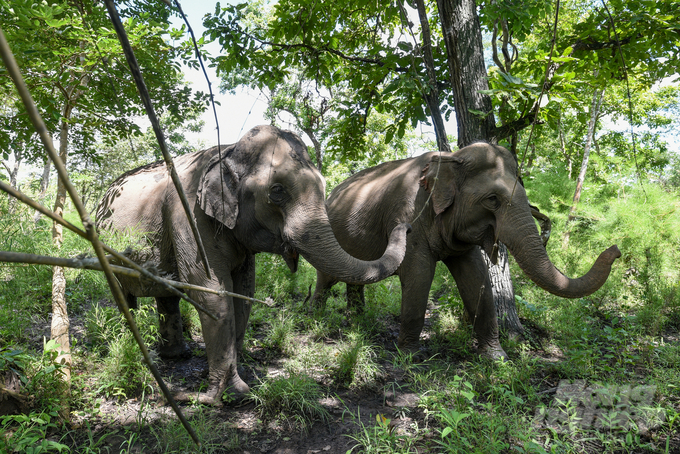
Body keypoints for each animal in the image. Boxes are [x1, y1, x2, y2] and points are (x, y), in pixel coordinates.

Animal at [95, 125, 410, 404]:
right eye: (277, 191)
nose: (404, 225)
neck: (227, 149)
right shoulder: (187, 215)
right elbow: (211, 291)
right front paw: (229, 396)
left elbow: (244, 290)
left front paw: (230, 381)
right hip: (105, 248)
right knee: (123, 294)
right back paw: (131, 348)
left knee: (167, 295)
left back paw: (175, 356)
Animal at [314, 142, 620, 358]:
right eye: (493, 199)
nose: (615, 249)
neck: (451, 157)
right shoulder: (409, 213)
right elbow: (420, 275)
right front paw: (410, 356)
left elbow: (476, 276)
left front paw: (497, 358)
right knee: (326, 279)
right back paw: (314, 316)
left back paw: (358, 321)